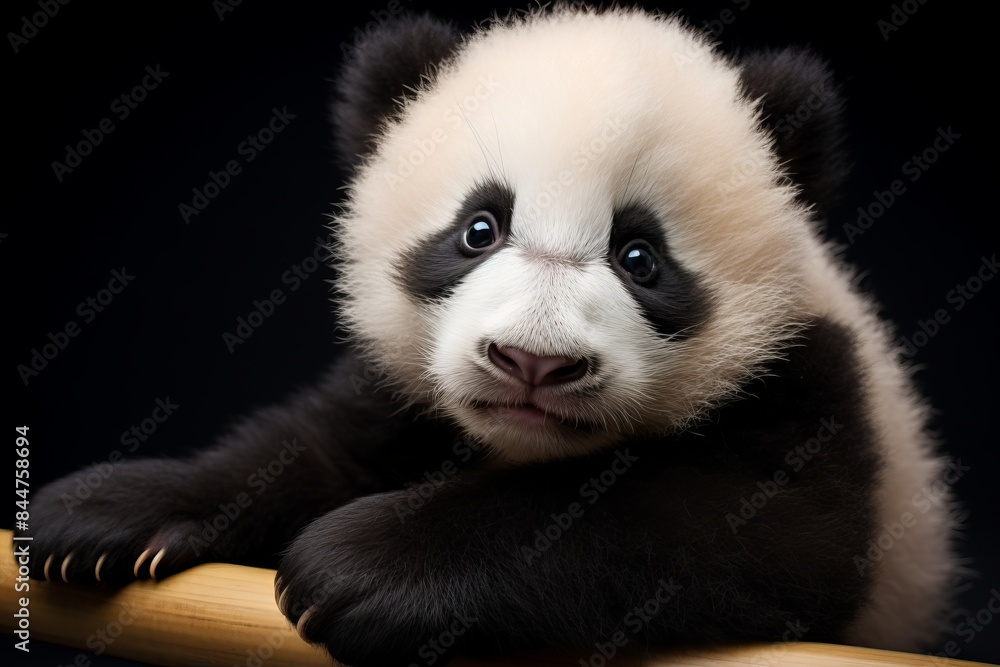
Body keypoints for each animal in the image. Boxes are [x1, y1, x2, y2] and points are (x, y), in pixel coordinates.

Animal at [22, 5, 959, 666]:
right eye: (479, 228)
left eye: (639, 257)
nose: (532, 363)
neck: (525, 445)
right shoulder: (401, 390)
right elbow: (313, 445)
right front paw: (107, 512)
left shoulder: (807, 380)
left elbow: (742, 525)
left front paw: (363, 565)